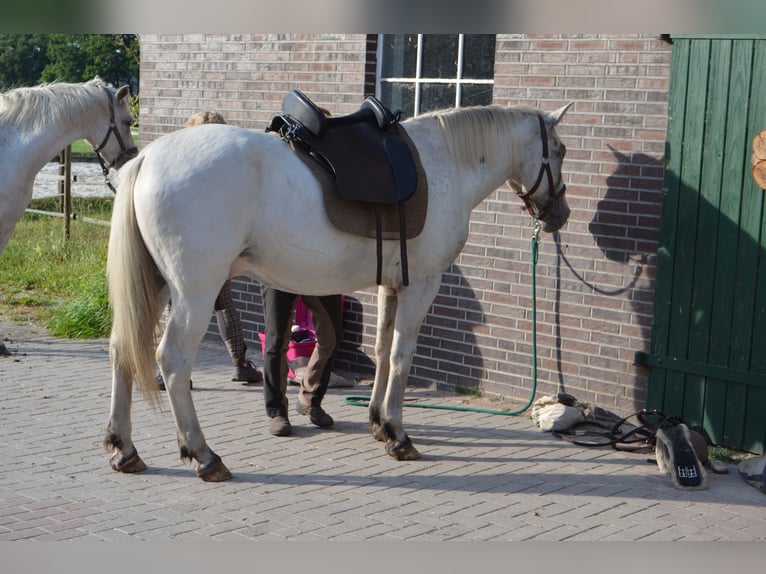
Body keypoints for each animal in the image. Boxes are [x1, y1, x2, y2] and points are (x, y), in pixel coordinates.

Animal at [105, 102, 572, 482]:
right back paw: (204, 455)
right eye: (562, 150)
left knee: (120, 349)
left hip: (157, 287)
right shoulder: (422, 284)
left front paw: (378, 422)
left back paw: (124, 448)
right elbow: (402, 356)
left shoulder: (392, 285)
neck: (445, 163)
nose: (560, 215)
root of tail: (147, 158)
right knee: (172, 360)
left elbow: (383, 352)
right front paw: (399, 435)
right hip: (195, 292)